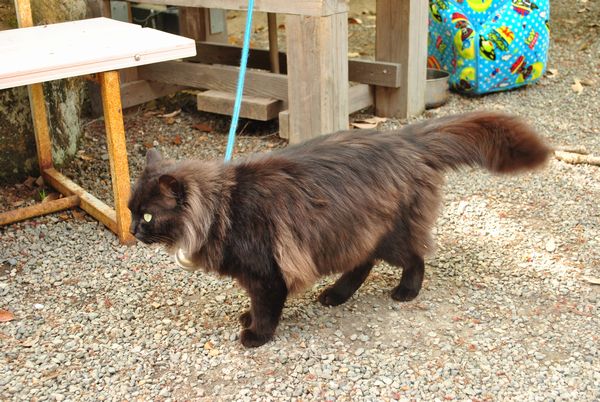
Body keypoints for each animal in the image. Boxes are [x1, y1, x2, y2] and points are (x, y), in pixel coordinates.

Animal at [129, 111, 552, 348]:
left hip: (389, 235)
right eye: (132, 211)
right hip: (355, 232)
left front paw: (256, 335)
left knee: (415, 258)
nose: (132, 231)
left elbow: (266, 309)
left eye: (147, 217)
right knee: (363, 265)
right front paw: (248, 320)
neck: (223, 208)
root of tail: (405, 138)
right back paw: (336, 295)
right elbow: (255, 305)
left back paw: (405, 292)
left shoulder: (267, 274)